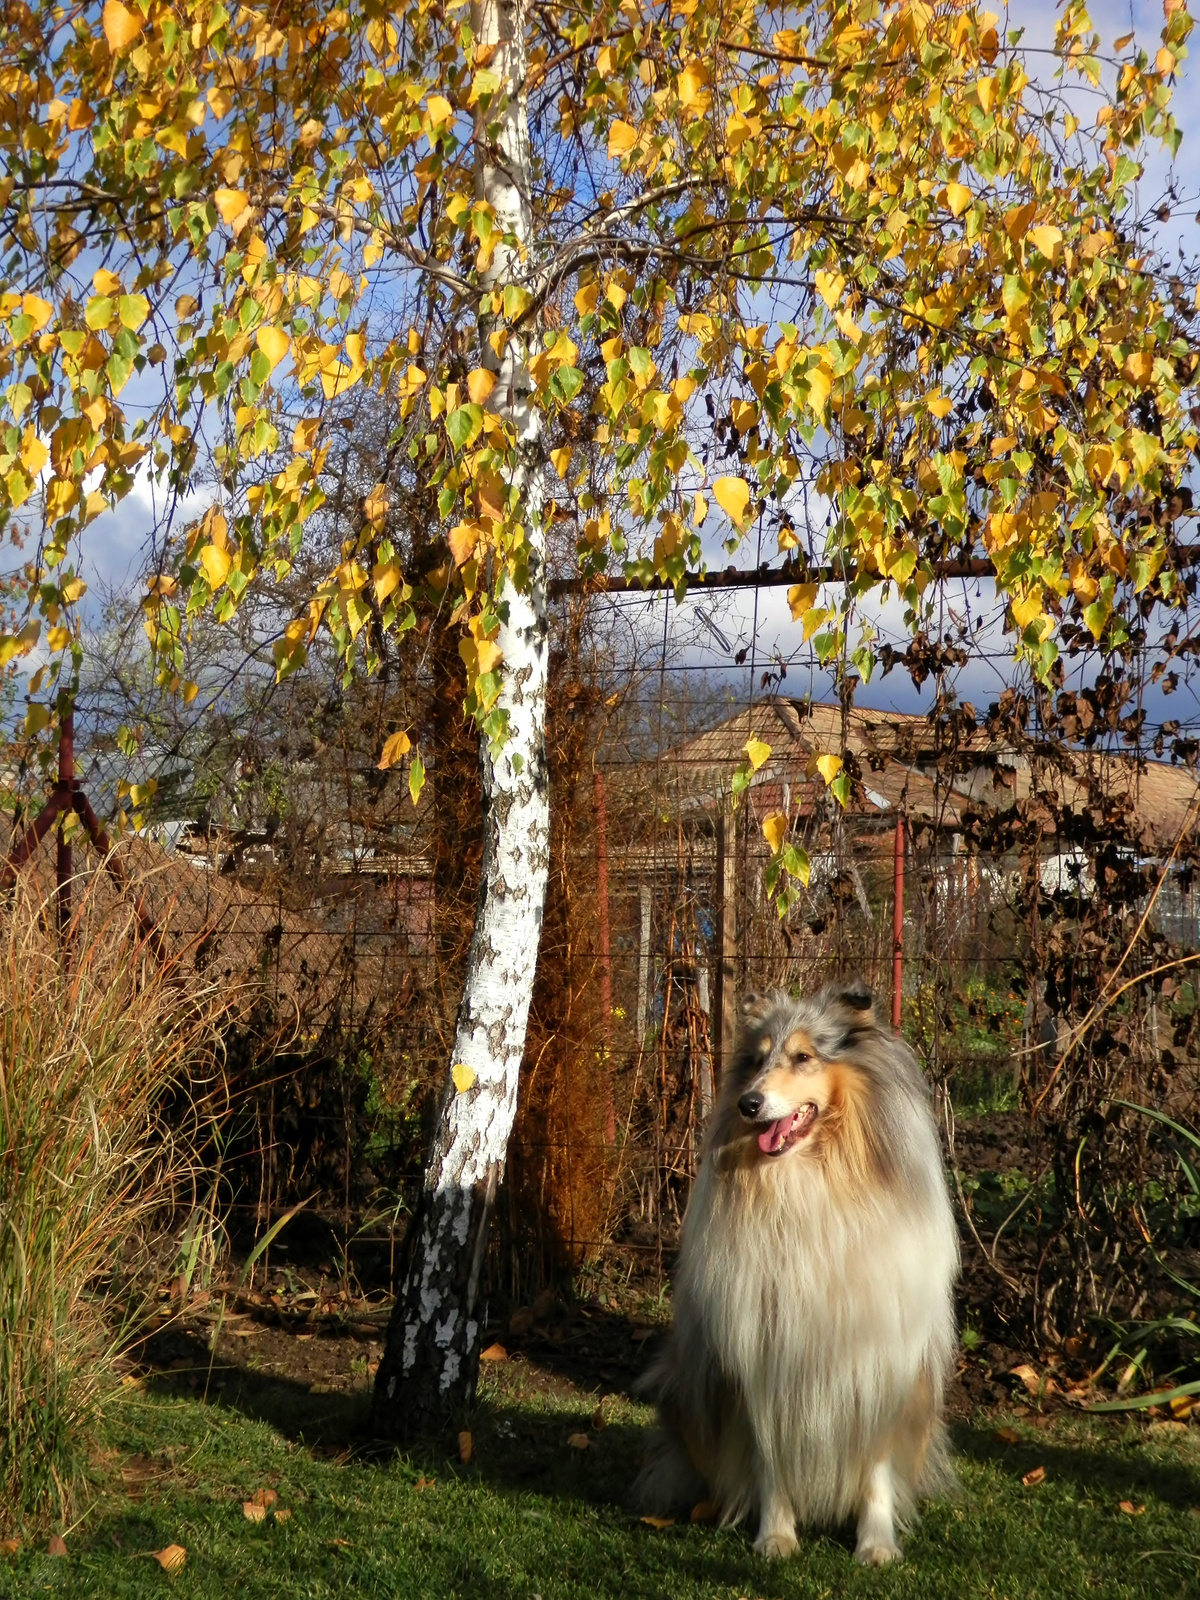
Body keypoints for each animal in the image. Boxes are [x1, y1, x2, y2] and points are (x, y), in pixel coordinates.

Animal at [640, 972, 960, 1561]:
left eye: (804, 1056)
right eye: (755, 1060)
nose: (749, 1104)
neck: (808, 1180)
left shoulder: (879, 1360)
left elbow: (875, 1463)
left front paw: (876, 1544)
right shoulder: (764, 1353)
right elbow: (769, 1458)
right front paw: (775, 1535)